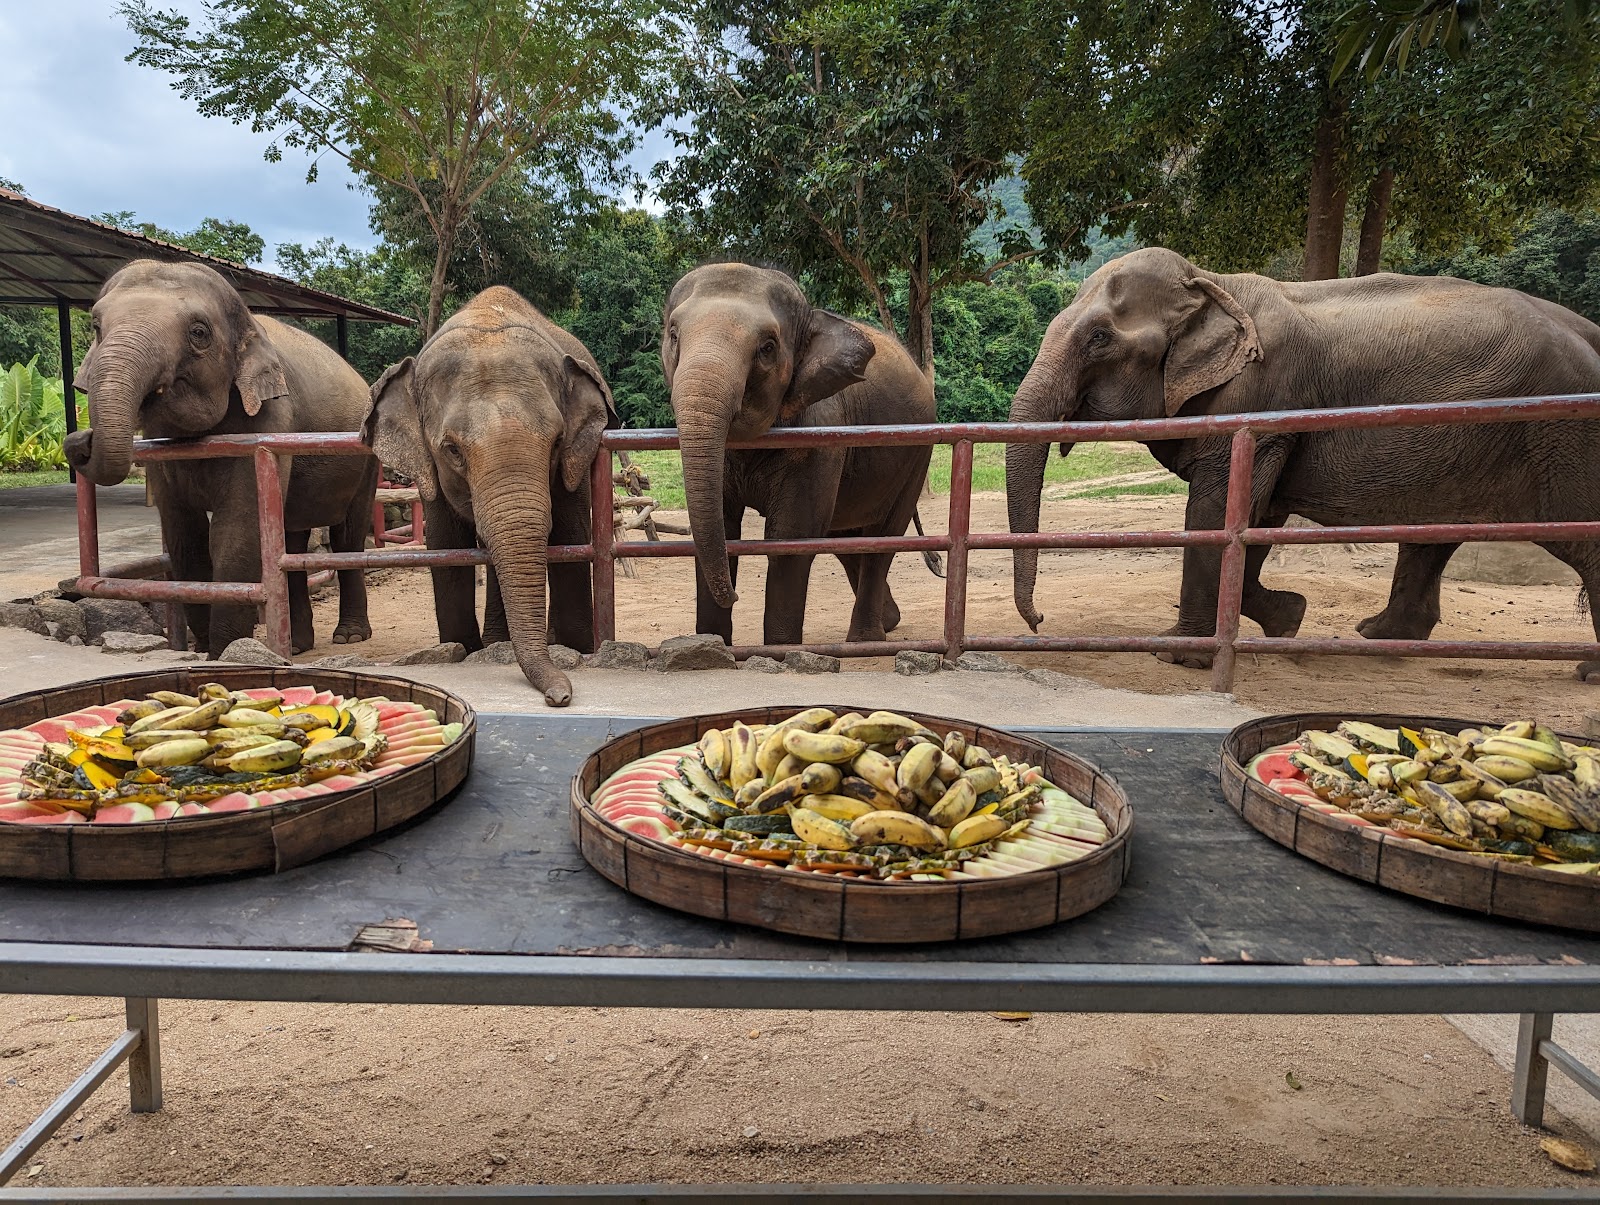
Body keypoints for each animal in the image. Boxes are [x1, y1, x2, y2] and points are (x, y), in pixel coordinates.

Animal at [66, 259, 375, 658]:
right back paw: (299, 645)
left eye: (199, 333)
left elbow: (236, 531)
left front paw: (226, 652)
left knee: (347, 537)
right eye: (95, 327)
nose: (79, 439)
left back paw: (349, 637)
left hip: (365, 462)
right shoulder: (158, 448)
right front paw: (205, 651)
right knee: (290, 537)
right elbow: (185, 536)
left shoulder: (269, 419)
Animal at [364, 286, 613, 706]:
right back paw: (497, 643)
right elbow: (446, 548)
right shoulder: (431, 474)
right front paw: (461, 650)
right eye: (452, 450)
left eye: (558, 442)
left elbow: (572, 538)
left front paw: (575, 649)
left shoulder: (575, 465)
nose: (560, 698)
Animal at [662, 263, 936, 646]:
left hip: (917, 454)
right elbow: (723, 529)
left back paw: (865, 639)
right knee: (844, 537)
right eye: (674, 335)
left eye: (767, 347)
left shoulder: (821, 433)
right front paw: (712, 646)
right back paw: (889, 621)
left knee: (883, 537)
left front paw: (778, 649)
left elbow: (792, 535)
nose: (735, 595)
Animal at [1005, 246, 1600, 677]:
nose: (1038, 623)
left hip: (1563, 436)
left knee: (1580, 543)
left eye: (1099, 338)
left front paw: (1175, 653)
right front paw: (1288, 620)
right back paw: (1377, 638)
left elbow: (1219, 511)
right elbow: (1256, 518)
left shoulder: (1262, 395)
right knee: (1429, 536)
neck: (1212, 282)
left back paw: (1583, 673)